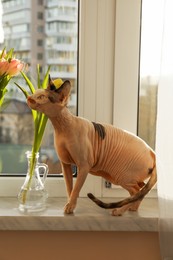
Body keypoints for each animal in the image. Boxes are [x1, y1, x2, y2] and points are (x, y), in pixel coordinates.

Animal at [26, 76, 157, 215]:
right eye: (34, 93)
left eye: (41, 97)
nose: (29, 98)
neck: (61, 127)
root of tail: (152, 153)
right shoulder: (65, 164)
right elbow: (69, 188)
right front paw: (69, 204)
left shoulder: (84, 165)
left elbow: (76, 189)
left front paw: (70, 206)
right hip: (125, 177)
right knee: (141, 190)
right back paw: (133, 208)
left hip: (121, 175)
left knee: (136, 191)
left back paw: (119, 211)